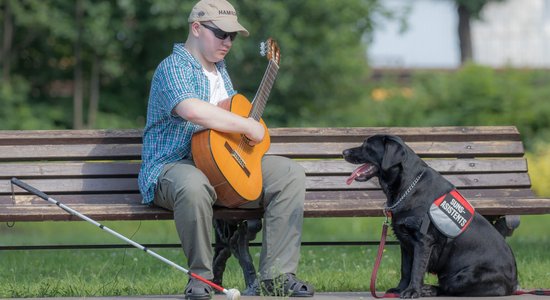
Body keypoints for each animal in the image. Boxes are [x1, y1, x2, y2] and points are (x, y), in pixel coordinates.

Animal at [342, 134, 520, 298]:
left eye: (367, 145)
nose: (344, 152)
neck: (408, 186)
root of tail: (513, 285)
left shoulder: (423, 241)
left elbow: (416, 270)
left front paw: (412, 291)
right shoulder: (405, 242)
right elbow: (405, 269)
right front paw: (400, 289)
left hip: (464, 275)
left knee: (449, 289)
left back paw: (428, 289)